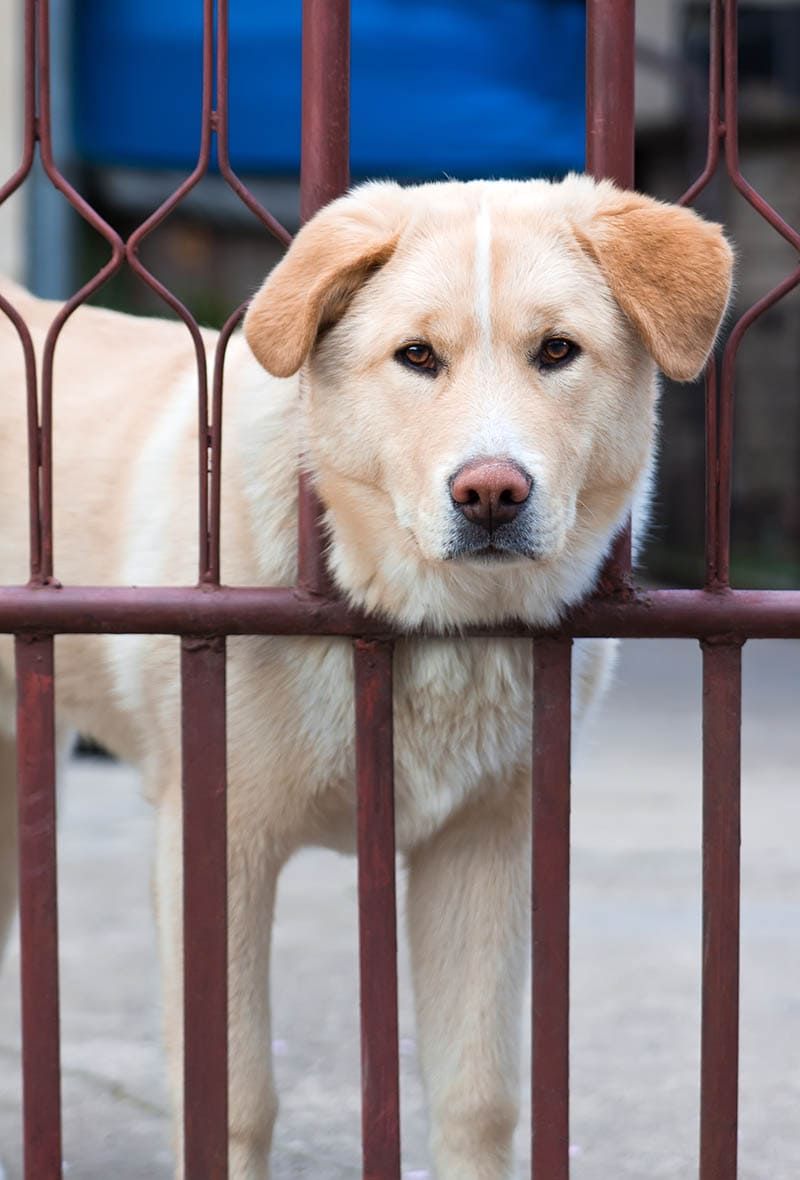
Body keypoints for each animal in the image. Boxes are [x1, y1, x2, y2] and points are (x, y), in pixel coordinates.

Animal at [0, 176, 736, 1180]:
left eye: (557, 351)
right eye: (416, 357)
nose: (491, 494)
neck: (423, 621)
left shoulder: (483, 846)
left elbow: (479, 1100)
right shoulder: (216, 845)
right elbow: (233, 1100)